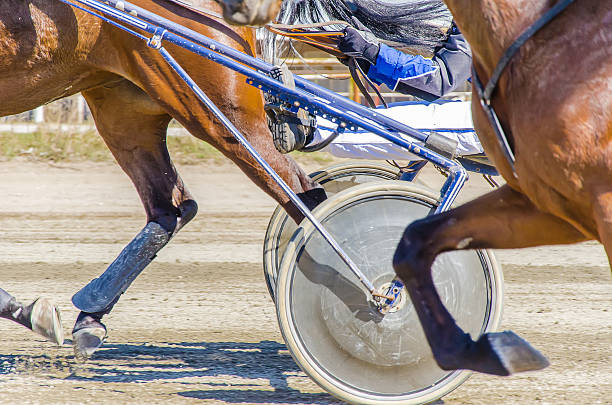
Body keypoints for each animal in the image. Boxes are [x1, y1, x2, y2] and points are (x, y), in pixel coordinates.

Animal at [1, 0, 326, 358]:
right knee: (170, 208)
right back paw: (90, 314)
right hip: (125, 107)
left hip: (219, 114)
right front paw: (26, 310)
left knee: (303, 193)